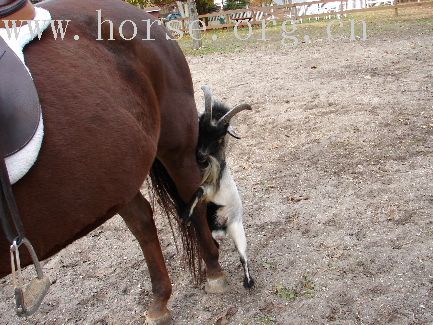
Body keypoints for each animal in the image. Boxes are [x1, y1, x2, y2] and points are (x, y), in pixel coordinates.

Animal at [0, 0, 228, 322]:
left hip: (175, 148)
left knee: (190, 199)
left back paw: (214, 272)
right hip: (114, 175)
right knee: (142, 219)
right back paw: (159, 302)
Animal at [183, 85, 253, 288]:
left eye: (220, 137)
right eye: (200, 126)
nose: (200, 155)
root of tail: (223, 229)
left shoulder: (210, 189)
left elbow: (199, 190)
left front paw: (185, 215)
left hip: (237, 228)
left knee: (243, 256)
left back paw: (248, 281)